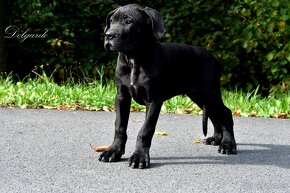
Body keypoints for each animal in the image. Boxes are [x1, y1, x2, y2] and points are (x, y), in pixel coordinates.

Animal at [98, 3, 237, 168]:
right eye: (111, 21)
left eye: (129, 21)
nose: (108, 35)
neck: (134, 59)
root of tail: (213, 57)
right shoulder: (122, 96)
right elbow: (119, 126)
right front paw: (113, 151)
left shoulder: (154, 99)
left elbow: (145, 130)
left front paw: (139, 157)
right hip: (199, 95)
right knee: (214, 115)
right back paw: (216, 139)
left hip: (210, 93)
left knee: (225, 113)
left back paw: (228, 145)